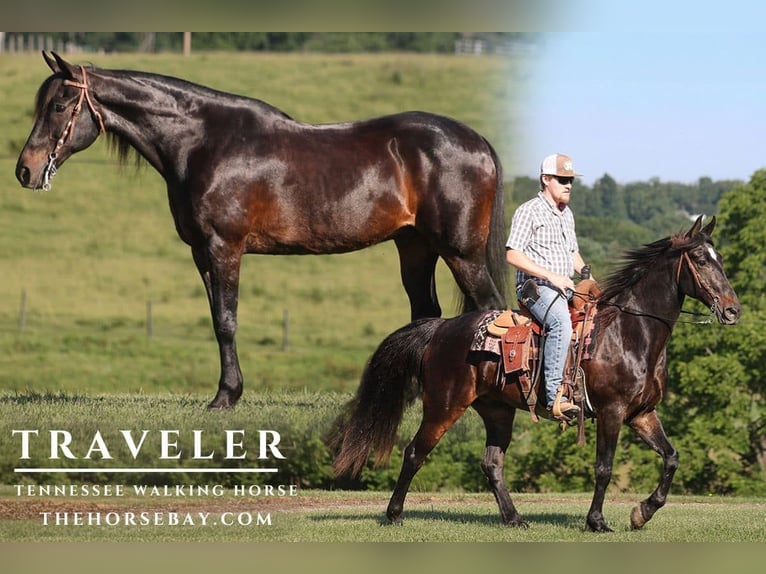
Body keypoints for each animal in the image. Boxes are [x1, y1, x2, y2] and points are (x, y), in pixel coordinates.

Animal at [15, 52, 507, 409]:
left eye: (59, 106)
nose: (26, 170)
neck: (203, 143)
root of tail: (478, 142)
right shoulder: (200, 253)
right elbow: (216, 318)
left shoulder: (224, 247)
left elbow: (227, 321)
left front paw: (225, 397)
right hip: (415, 247)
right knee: (427, 314)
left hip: (461, 252)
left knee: (491, 310)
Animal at [330, 215, 742, 532]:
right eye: (701, 260)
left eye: (720, 258)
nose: (733, 310)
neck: (629, 332)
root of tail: (441, 328)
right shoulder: (611, 412)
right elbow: (604, 467)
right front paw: (597, 521)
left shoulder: (642, 413)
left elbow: (671, 457)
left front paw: (642, 513)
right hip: (444, 407)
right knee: (415, 452)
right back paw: (394, 515)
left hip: (497, 411)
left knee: (492, 464)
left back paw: (514, 519)